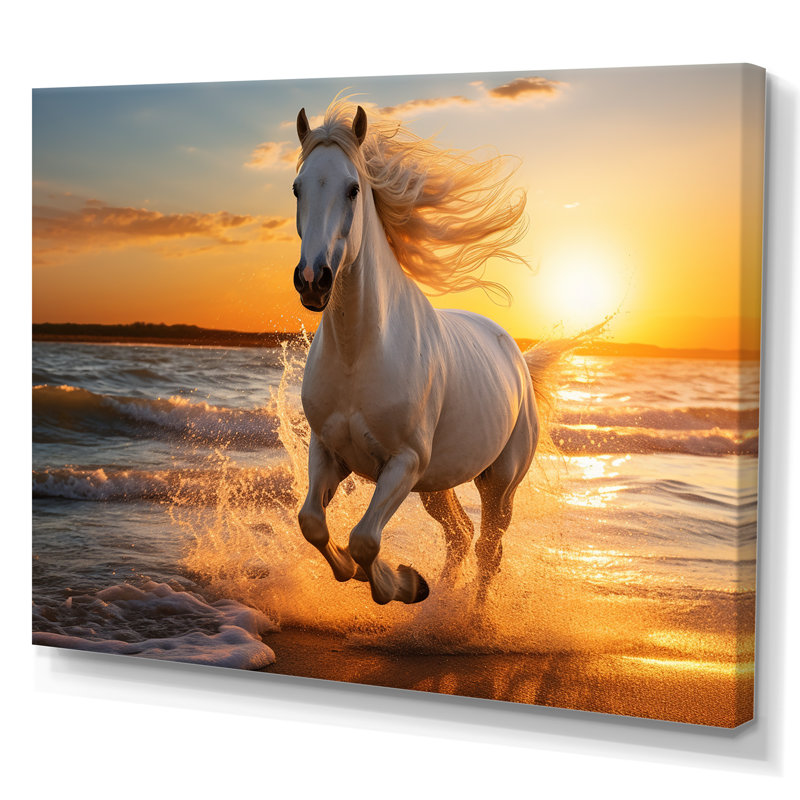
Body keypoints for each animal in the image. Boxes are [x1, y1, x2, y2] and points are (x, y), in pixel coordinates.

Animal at [291, 99, 553, 606]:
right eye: (297, 187)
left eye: (353, 189)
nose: (313, 280)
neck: (358, 354)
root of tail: (516, 356)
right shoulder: (328, 450)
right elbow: (312, 523)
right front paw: (370, 575)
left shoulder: (404, 463)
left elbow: (365, 539)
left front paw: (405, 585)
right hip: (437, 485)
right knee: (461, 534)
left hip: (499, 483)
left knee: (488, 550)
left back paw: (469, 617)